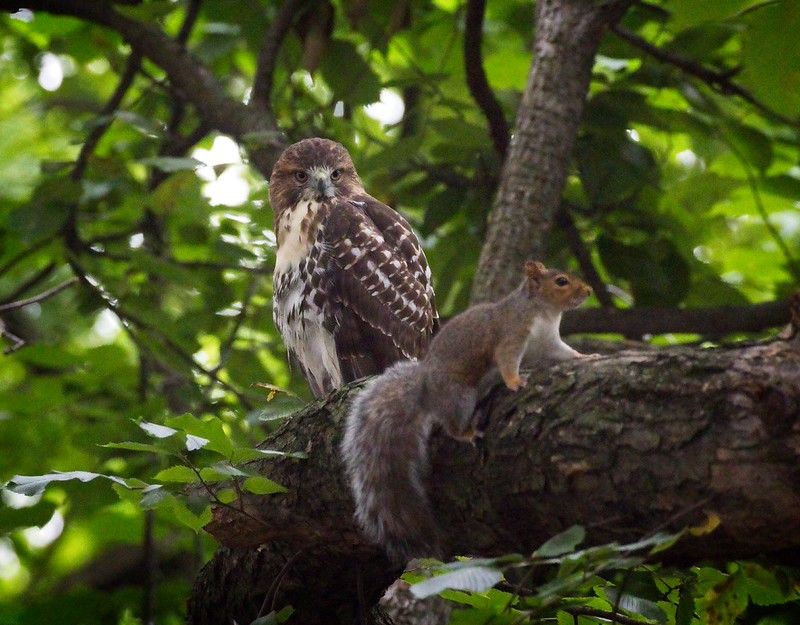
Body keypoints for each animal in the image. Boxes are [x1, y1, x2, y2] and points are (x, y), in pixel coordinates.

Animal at [340, 260, 593, 565]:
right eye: (561, 281)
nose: (588, 291)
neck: (545, 313)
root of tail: (425, 390)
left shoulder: (550, 344)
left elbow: (566, 353)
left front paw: (588, 357)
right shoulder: (511, 336)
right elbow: (507, 362)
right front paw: (514, 382)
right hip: (460, 397)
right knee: (452, 427)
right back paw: (469, 432)